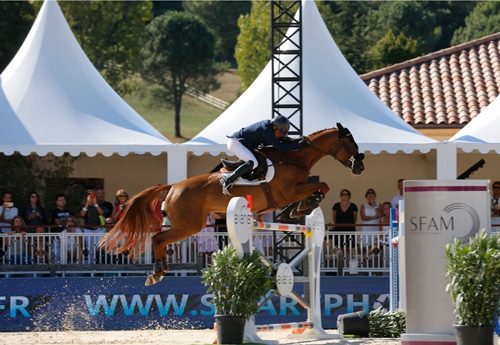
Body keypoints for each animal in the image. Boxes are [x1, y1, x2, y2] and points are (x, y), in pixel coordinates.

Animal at [98, 123, 364, 284]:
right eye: (351, 142)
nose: (360, 167)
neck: (294, 157)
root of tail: (173, 186)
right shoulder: (290, 191)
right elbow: (323, 187)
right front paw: (306, 204)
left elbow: (315, 191)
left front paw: (301, 207)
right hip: (189, 225)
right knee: (158, 238)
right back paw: (157, 271)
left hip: (187, 224)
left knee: (158, 238)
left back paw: (160, 270)